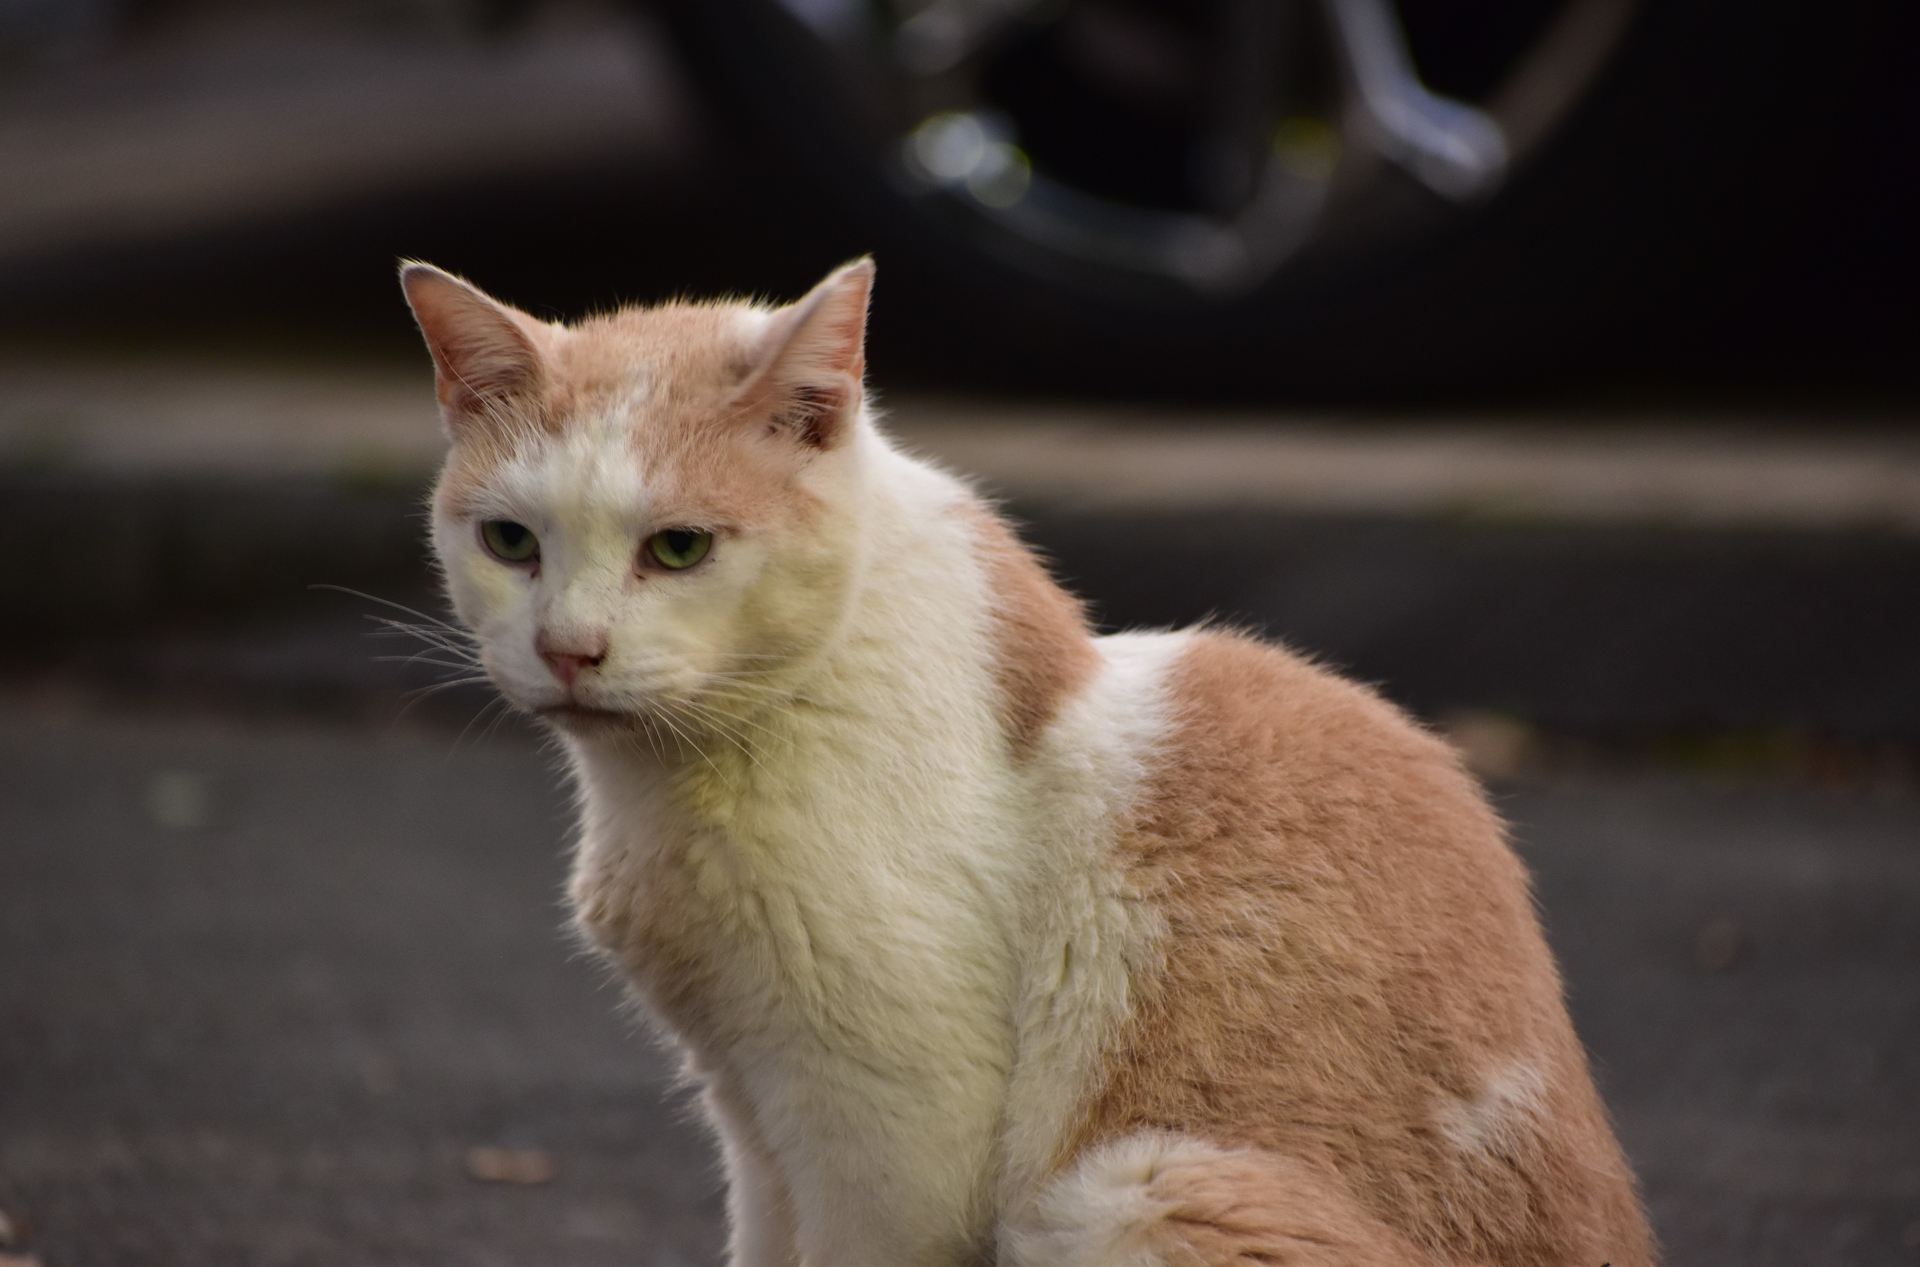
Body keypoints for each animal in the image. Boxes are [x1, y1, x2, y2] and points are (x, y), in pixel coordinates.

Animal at [401, 259, 1651, 1267]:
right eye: (509, 541)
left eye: (678, 548)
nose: (568, 648)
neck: (671, 786)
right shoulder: (753, 1122)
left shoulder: (893, 1137)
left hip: (1130, 1190)